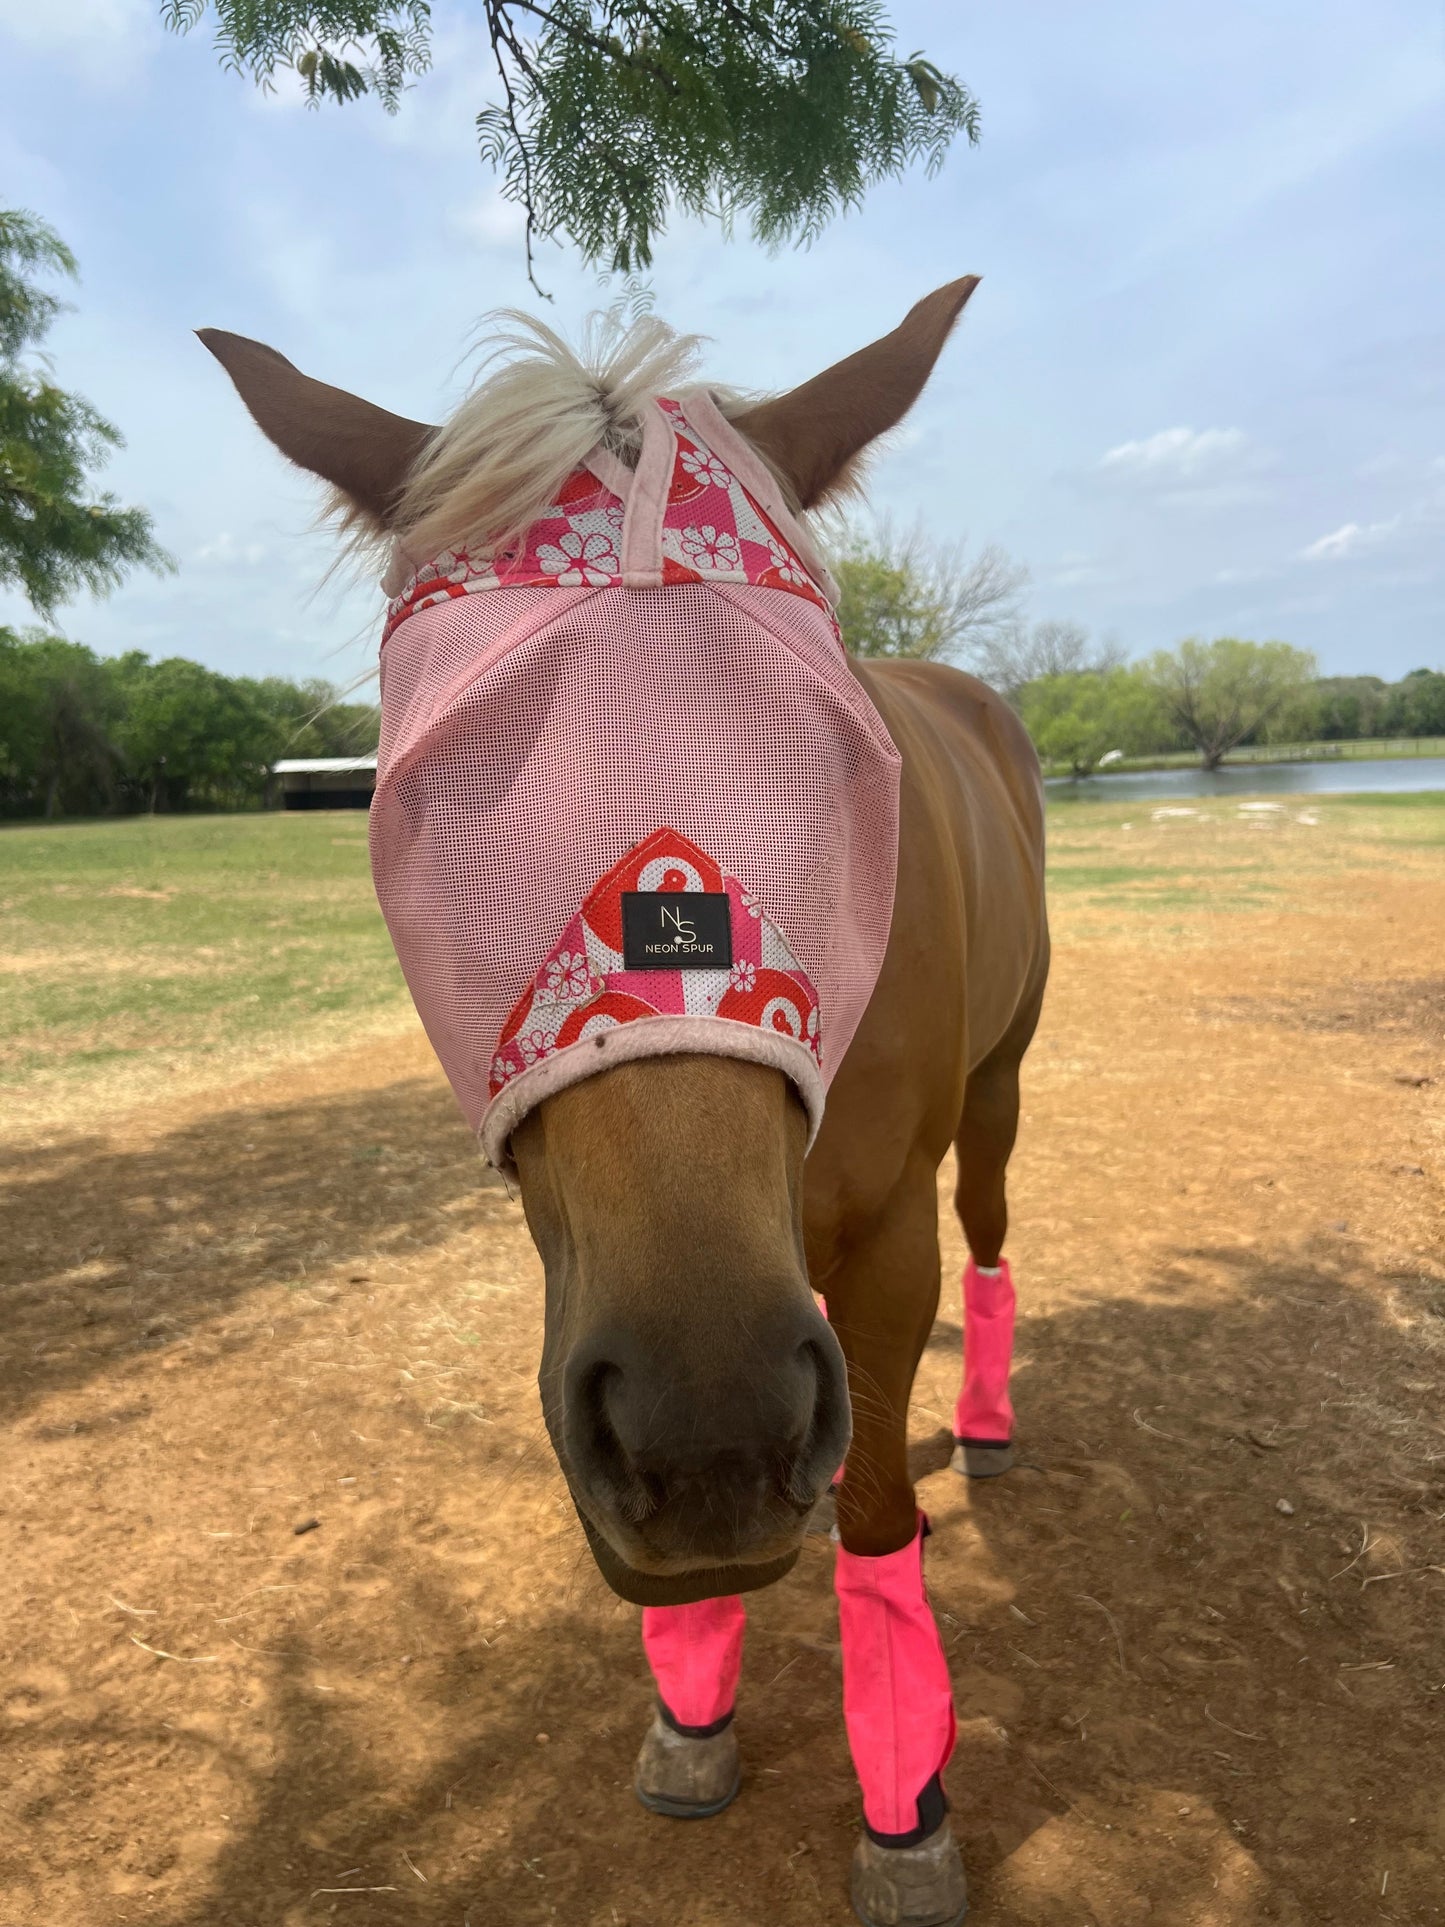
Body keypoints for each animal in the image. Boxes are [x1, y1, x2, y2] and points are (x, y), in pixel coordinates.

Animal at [201, 278, 1049, 1927]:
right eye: (430, 786)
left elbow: (872, 1522)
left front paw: (906, 1807)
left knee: (991, 1224)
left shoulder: (880, 1247)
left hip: (995, 1096)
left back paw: (977, 1423)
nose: (704, 1428)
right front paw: (693, 1705)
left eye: (838, 759)